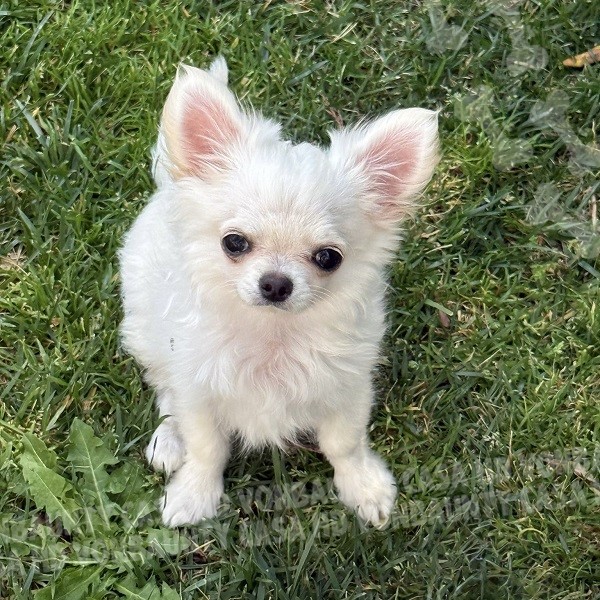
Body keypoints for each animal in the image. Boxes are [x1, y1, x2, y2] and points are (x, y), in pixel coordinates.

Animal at [119, 57, 439, 528]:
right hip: (146, 331)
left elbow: (344, 444)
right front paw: (194, 494)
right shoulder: (198, 387)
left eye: (328, 257)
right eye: (234, 243)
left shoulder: (347, 388)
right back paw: (170, 438)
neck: (273, 336)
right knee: (163, 387)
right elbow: (206, 446)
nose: (275, 283)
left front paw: (363, 486)